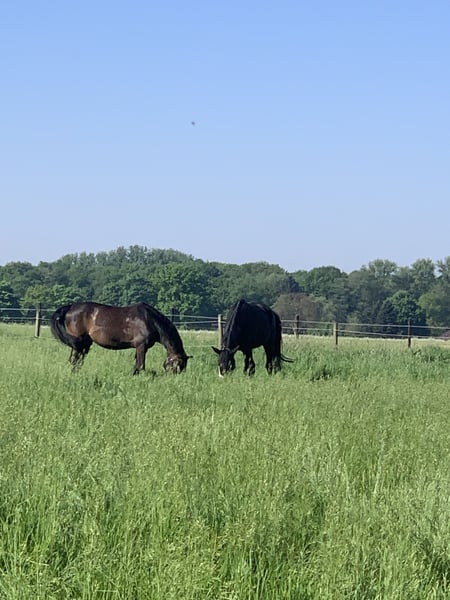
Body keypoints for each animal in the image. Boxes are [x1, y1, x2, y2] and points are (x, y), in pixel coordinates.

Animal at [50, 302, 192, 375]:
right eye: (178, 366)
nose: (174, 378)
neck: (149, 320)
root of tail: (70, 307)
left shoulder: (139, 348)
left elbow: (136, 366)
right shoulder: (141, 346)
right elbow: (141, 365)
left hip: (84, 344)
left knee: (77, 360)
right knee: (74, 360)